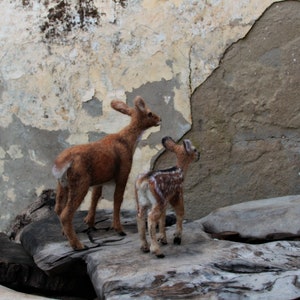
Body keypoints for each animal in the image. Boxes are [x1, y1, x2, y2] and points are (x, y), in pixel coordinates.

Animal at [52, 96, 163, 251]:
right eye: (150, 113)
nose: (160, 118)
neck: (128, 142)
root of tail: (60, 164)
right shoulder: (123, 171)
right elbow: (118, 198)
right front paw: (118, 228)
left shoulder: (100, 179)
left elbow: (95, 197)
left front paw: (90, 222)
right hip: (80, 181)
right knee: (65, 214)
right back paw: (78, 245)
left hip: (63, 184)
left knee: (57, 208)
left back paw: (65, 235)